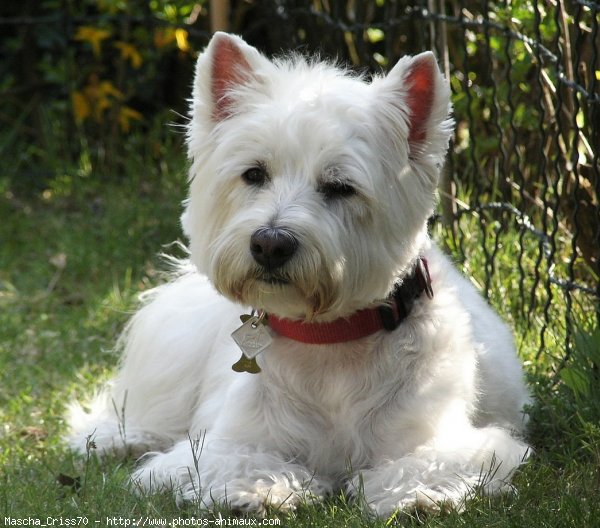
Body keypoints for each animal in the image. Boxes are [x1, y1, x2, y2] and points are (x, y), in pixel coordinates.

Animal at [68, 32, 532, 516]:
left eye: (341, 187)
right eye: (254, 173)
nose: (270, 244)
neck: (328, 340)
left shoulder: (451, 440)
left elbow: (424, 465)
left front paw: (413, 497)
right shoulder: (220, 445)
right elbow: (241, 461)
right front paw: (263, 490)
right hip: (173, 349)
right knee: (144, 407)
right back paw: (117, 437)